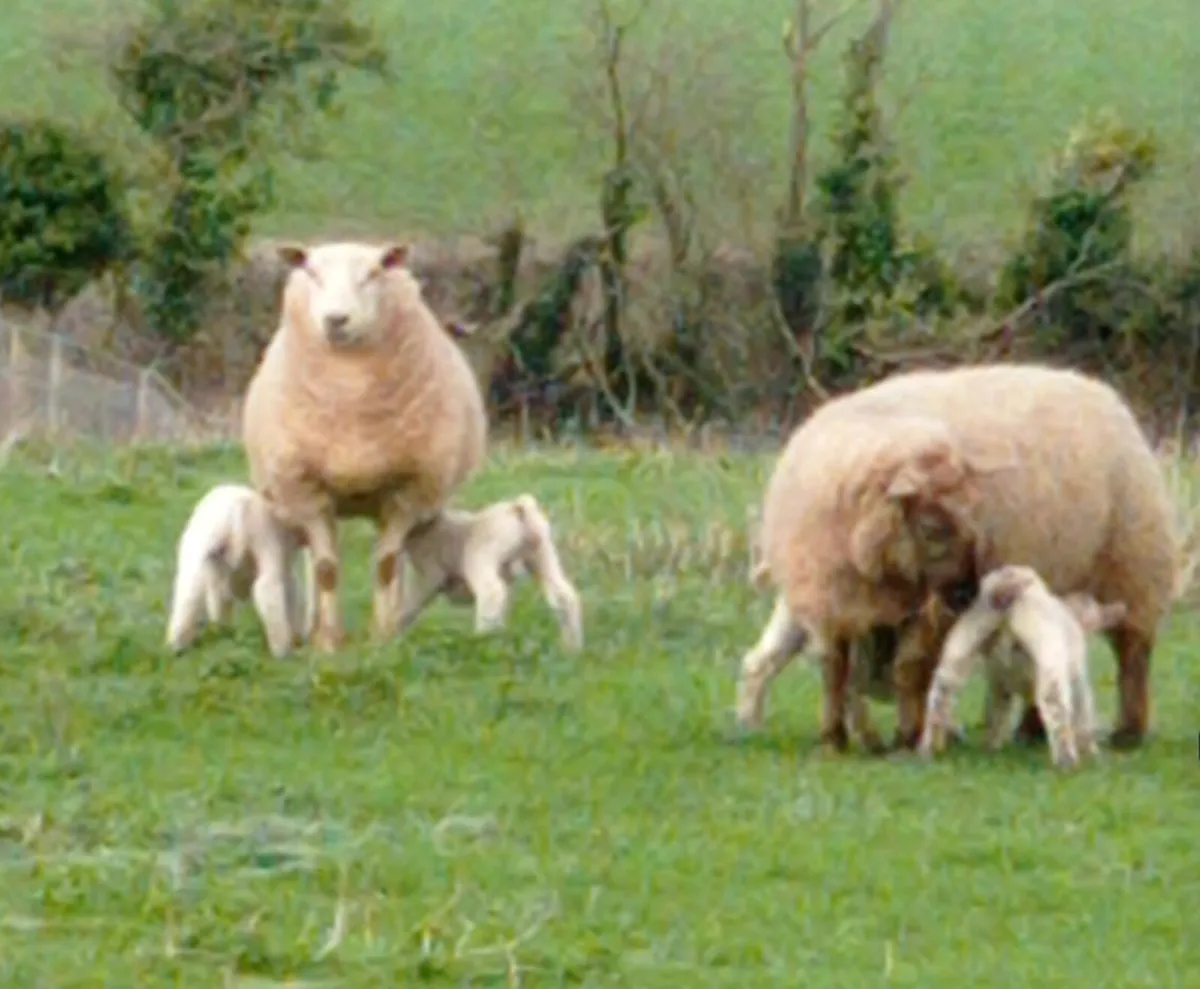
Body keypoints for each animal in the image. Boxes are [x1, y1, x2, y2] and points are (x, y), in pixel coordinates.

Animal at [165, 484, 304, 658]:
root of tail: (235, 511)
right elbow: (293, 592)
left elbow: (218, 598)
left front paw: (221, 631)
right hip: (265, 541)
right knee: (267, 587)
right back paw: (282, 652)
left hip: (197, 551)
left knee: (189, 592)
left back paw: (177, 646)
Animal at [241, 241, 488, 652]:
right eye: (312, 273)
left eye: (372, 274)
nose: (336, 319)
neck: (350, 393)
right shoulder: (305, 490)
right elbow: (325, 569)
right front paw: (328, 642)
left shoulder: (408, 491)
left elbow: (387, 565)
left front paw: (382, 637)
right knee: (311, 557)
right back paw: (311, 626)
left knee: (399, 558)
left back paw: (396, 620)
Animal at [392, 493, 584, 649]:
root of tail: (519, 509)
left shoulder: (426, 575)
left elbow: (407, 607)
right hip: (542, 554)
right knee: (563, 595)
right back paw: (571, 648)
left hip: (481, 555)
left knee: (492, 592)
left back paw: (482, 642)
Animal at [918, 564, 1127, 769]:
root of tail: (1005, 585)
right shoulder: (1078, 676)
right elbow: (1083, 710)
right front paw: (1091, 753)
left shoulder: (999, 682)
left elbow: (995, 711)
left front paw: (991, 748)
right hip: (1046, 644)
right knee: (1053, 699)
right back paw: (1066, 761)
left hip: (965, 639)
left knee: (941, 693)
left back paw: (928, 752)